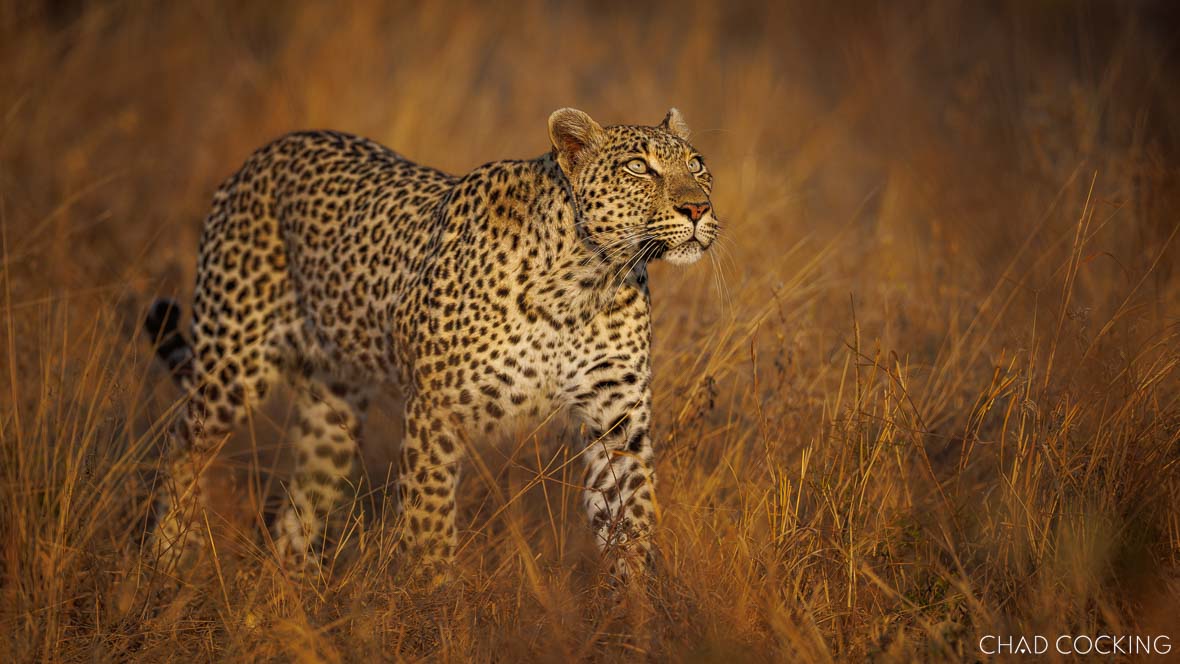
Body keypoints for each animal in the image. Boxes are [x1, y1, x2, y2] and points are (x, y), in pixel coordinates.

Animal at [143, 107, 720, 582]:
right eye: (638, 168)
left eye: (697, 165)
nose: (697, 209)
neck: (587, 281)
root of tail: (265, 152)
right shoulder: (435, 411)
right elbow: (428, 527)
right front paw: (429, 613)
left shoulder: (616, 421)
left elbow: (631, 524)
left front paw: (634, 621)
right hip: (231, 364)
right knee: (182, 445)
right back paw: (170, 555)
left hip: (333, 404)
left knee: (302, 500)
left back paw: (293, 595)